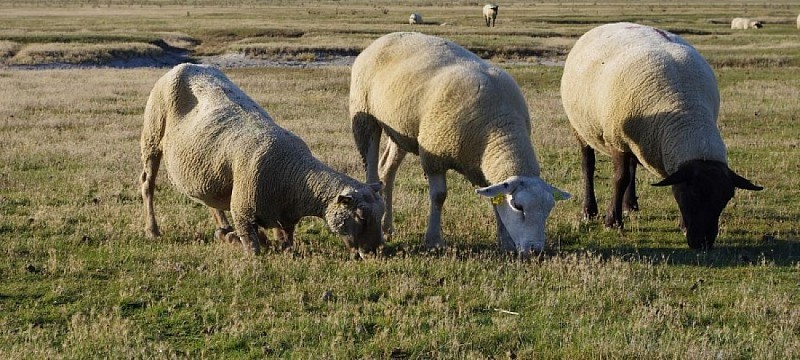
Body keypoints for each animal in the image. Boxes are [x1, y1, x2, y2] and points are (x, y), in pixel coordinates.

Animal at [141, 63, 388, 255]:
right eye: (361, 217)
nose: (376, 252)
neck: (295, 175)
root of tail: (185, 65)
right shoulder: (243, 211)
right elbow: (253, 248)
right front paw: (242, 243)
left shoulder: (286, 218)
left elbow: (285, 241)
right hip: (152, 136)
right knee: (147, 184)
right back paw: (153, 230)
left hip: (204, 169)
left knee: (207, 198)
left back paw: (223, 228)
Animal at [350, 31, 568, 256]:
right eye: (518, 206)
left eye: (549, 210)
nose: (536, 250)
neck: (499, 129)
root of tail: (384, 38)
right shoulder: (433, 156)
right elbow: (439, 196)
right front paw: (434, 240)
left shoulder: (481, 168)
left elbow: (494, 199)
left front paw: (505, 242)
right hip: (364, 116)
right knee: (372, 168)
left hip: (402, 130)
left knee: (387, 170)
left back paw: (388, 227)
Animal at [564, 21, 764, 249]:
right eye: (693, 194)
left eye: (727, 198)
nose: (703, 243)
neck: (686, 113)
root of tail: (607, 25)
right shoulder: (618, 140)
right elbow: (619, 179)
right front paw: (612, 222)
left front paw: (682, 225)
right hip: (581, 127)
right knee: (588, 165)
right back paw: (589, 210)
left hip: (635, 140)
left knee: (632, 167)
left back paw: (630, 205)